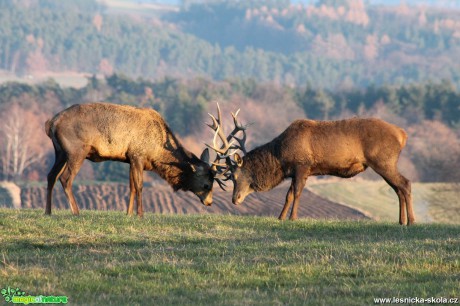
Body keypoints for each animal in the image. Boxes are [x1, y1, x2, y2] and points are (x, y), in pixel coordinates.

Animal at [44, 101, 215, 216]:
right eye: (206, 184)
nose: (209, 202)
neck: (157, 151)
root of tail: (51, 123)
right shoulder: (137, 155)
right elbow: (139, 186)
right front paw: (140, 214)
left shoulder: (130, 159)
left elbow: (131, 186)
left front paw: (128, 213)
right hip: (76, 150)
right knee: (65, 178)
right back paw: (76, 212)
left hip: (60, 152)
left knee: (51, 176)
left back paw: (48, 211)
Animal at [210, 117, 416, 225]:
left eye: (235, 175)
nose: (235, 199)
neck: (280, 158)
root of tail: (403, 135)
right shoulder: (298, 171)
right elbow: (289, 195)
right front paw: (281, 217)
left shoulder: (302, 165)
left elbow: (296, 193)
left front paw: (292, 217)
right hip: (385, 163)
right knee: (398, 188)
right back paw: (401, 221)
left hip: (383, 161)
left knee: (405, 183)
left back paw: (412, 220)